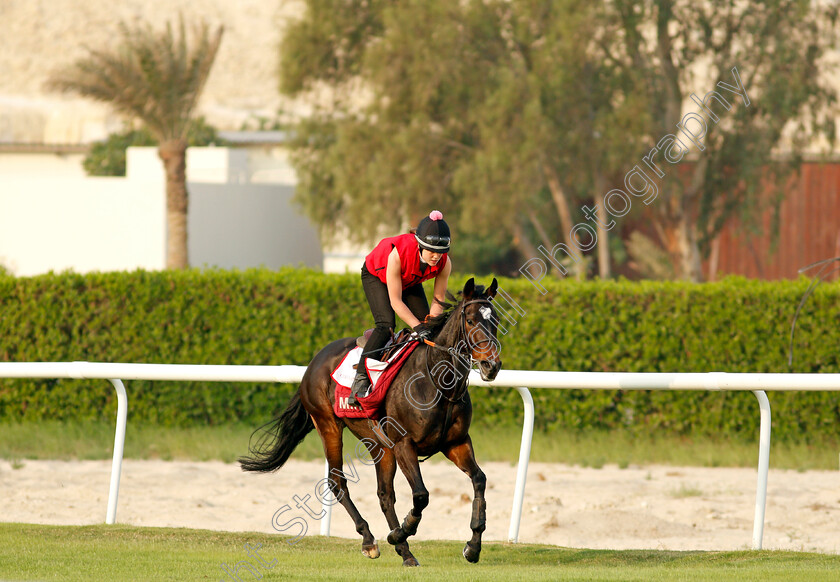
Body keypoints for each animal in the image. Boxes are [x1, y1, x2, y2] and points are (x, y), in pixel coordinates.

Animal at [240, 280, 502, 568]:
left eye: (496, 320)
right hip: (329, 425)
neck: (437, 382)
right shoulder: (404, 444)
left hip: (378, 443)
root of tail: (315, 361)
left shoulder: (456, 443)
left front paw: (473, 546)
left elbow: (479, 479)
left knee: (384, 494)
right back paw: (371, 540)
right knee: (337, 482)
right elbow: (421, 495)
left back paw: (405, 552)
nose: (491, 365)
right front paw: (403, 530)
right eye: (470, 320)